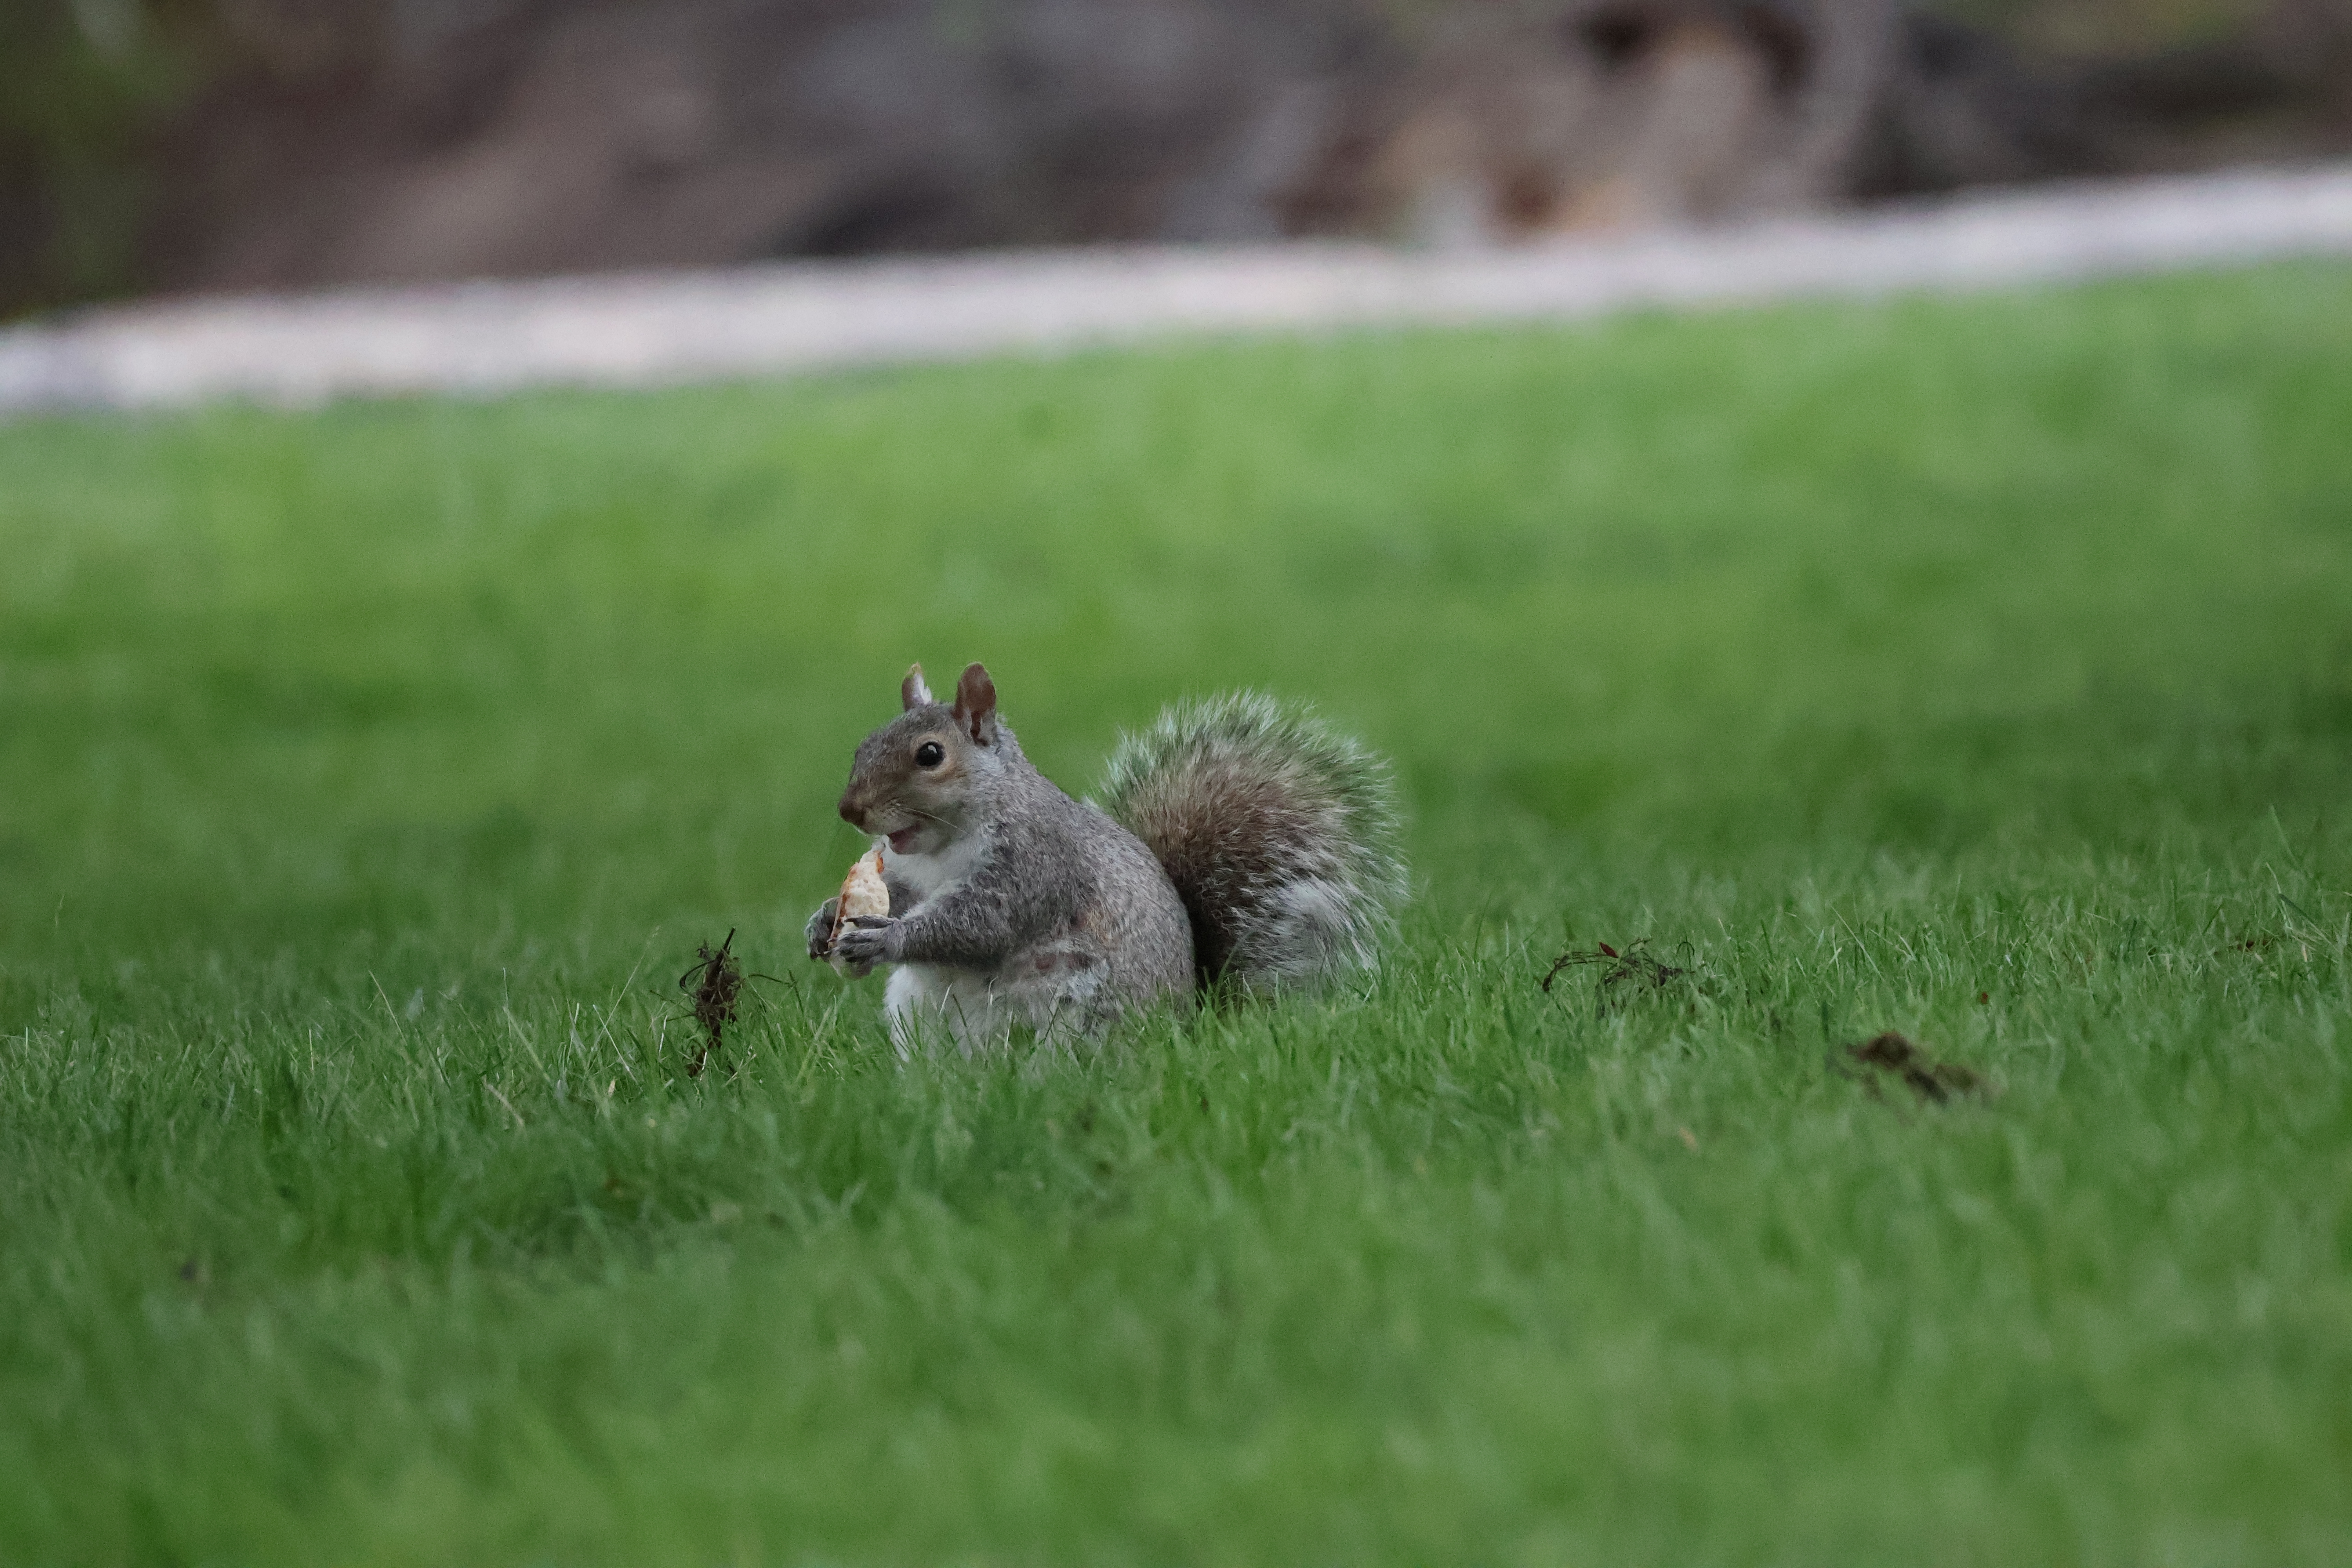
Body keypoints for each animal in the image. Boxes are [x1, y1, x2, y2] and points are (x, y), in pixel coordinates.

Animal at [806, 661, 1405, 1052]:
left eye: (930, 755)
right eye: (864, 744)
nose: (849, 810)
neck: (944, 845)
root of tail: (1188, 1024)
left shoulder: (1036, 865)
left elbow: (981, 924)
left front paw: (886, 938)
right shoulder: (907, 873)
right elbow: (901, 894)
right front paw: (824, 921)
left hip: (1078, 1012)